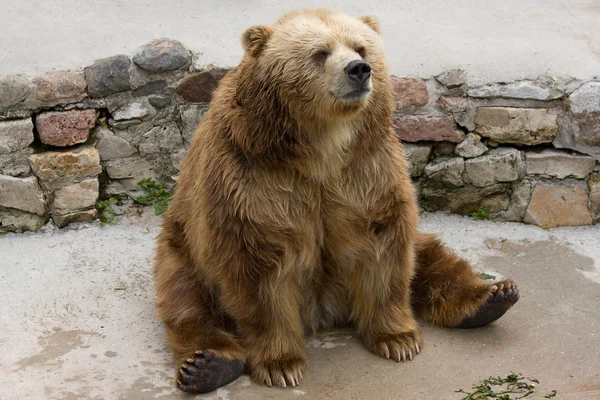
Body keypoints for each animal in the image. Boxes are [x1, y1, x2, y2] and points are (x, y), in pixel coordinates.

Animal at [154, 8, 520, 394]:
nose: (359, 69)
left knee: (430, 257)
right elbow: (260, 269)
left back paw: (493, 296)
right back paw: (207, 363)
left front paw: (398, 339)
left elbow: (385, 251)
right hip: (182, 246)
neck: (321, 147)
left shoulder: (366, 171)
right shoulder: (256, 177)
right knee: (186, 299)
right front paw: (281, 364)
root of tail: (325, 313)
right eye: (319, 52)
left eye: (360, 47)